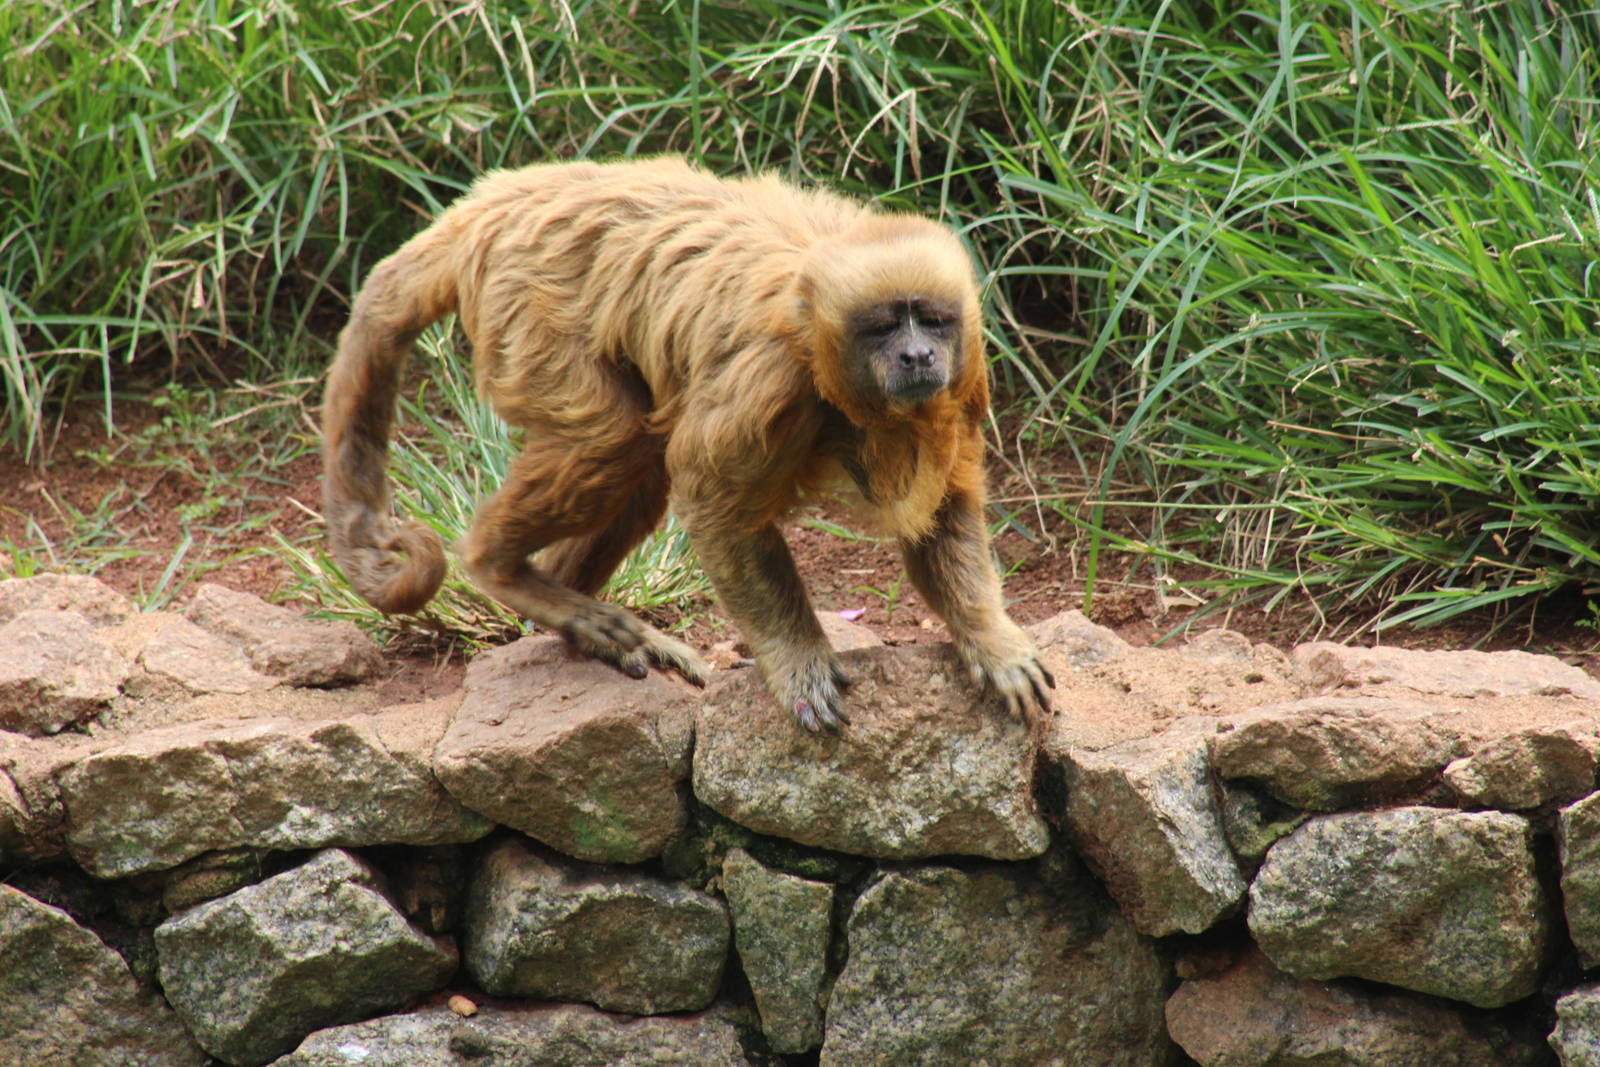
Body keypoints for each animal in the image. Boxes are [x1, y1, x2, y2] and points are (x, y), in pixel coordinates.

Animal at [322, 156, 1053, 731]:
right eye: (883, 328)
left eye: (931, 320)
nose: (917, 355)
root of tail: (499, 201)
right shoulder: (768, 380)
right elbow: (715, 506)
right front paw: (797, 659)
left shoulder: (968, 375)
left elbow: (944, 507)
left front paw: (988, 637)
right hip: (524, 305)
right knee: (612, 439)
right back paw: (498, 567)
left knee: (635, 460)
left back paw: (566, 611)